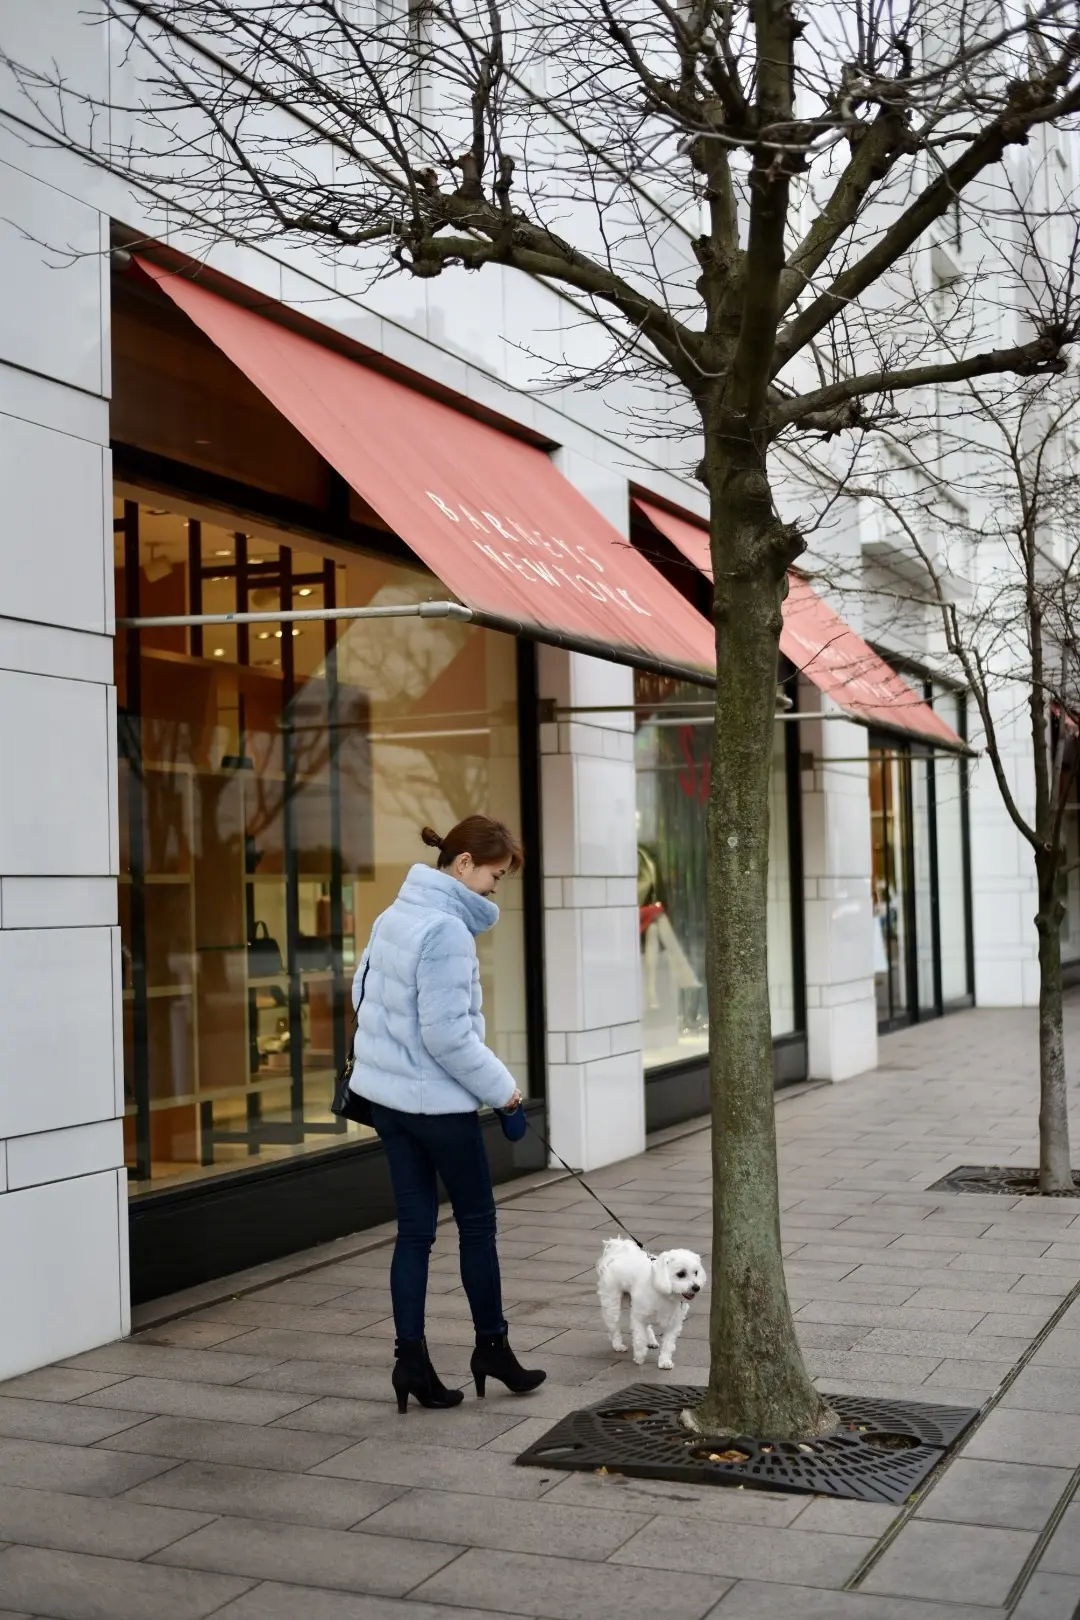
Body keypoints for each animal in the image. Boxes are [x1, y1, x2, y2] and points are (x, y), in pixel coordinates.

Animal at [595, 1237, 705, 1367]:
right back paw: (618, 1344)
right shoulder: (639, 1317)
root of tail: (617, 1253)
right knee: (613, 1325)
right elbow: (639, 1338)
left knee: (647, 1326)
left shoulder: (673, 1323)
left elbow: (668, 1344)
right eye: (681, 1274)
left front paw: (664, 1361)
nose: (696, 1287)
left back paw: (651, 1340)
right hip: (612, 1303)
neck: (665, 1294)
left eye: (696, 1273)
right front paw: (639, 1356)